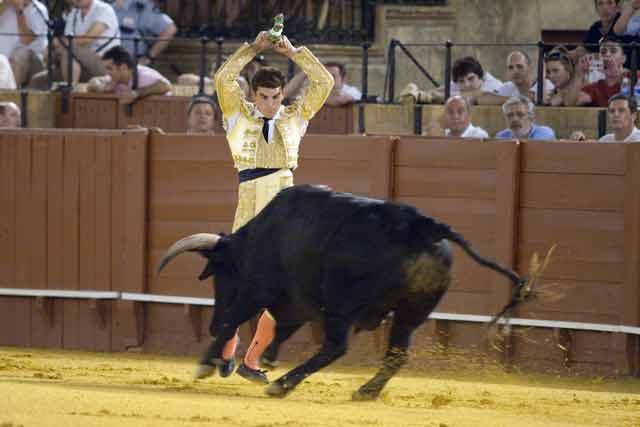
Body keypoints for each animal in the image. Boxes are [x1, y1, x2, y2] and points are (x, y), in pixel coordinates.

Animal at [158, 185, 532, 402]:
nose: (208, 324)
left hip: (341, 304)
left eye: (220, 275)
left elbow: (235, 320)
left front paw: (206, 363)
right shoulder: (296, 301)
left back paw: (282, 385)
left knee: (336, 347)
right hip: (411, 312)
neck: (256, 238)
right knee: (396, 353)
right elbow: (282, 326)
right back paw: (365, 391)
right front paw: (267, 359)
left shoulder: (257, 289)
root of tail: (423, 225)